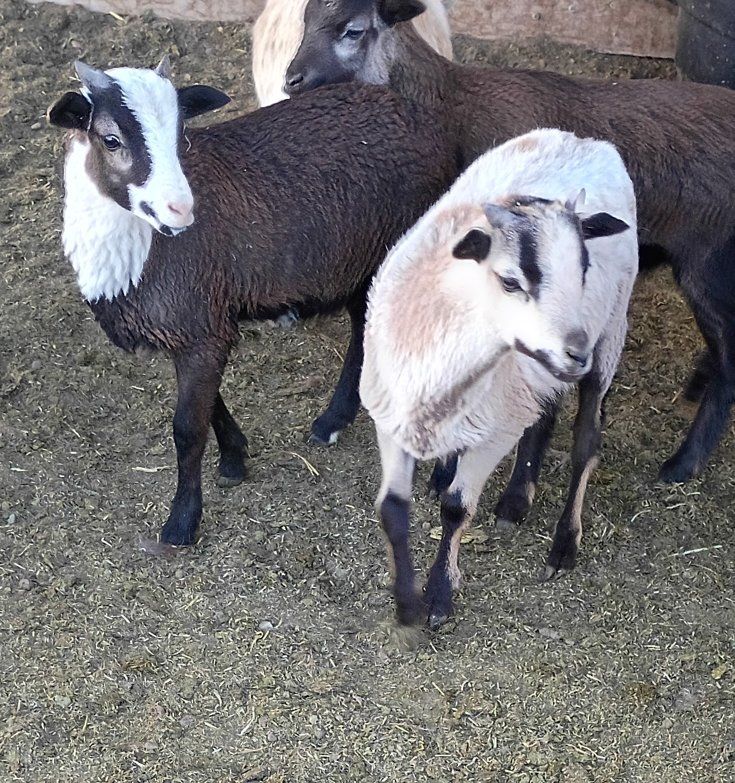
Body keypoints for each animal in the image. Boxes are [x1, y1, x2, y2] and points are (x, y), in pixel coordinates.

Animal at [47, 58, 457, 548]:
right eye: (110, 139)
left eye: (181, 134)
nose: (180, 209)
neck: (138, 251)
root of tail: (419, 117)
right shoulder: (199, 322)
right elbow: (210, 407)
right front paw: (233, 459)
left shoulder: (200, 328)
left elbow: (187, 428)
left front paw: (182, 522)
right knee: (364, 329)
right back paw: (334, 420)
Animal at [287, 0, 735, 502]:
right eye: (305, 19)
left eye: (353, 30)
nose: (291, 80)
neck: (446, 108)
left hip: (710, 265)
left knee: (730, 364)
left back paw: (684, 461)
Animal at [360, 129, 638, 626]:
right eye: (509, 282)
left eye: (583, 270)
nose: (577, 351)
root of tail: (586, 140)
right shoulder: (391, 421)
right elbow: (390, 510)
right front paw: (406, 604)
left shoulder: (495, 431)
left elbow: (456, 508)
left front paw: (439, 595)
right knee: (543, 414)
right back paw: (513, 499)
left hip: (611, 330)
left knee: (586, 440)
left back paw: (563, 543)